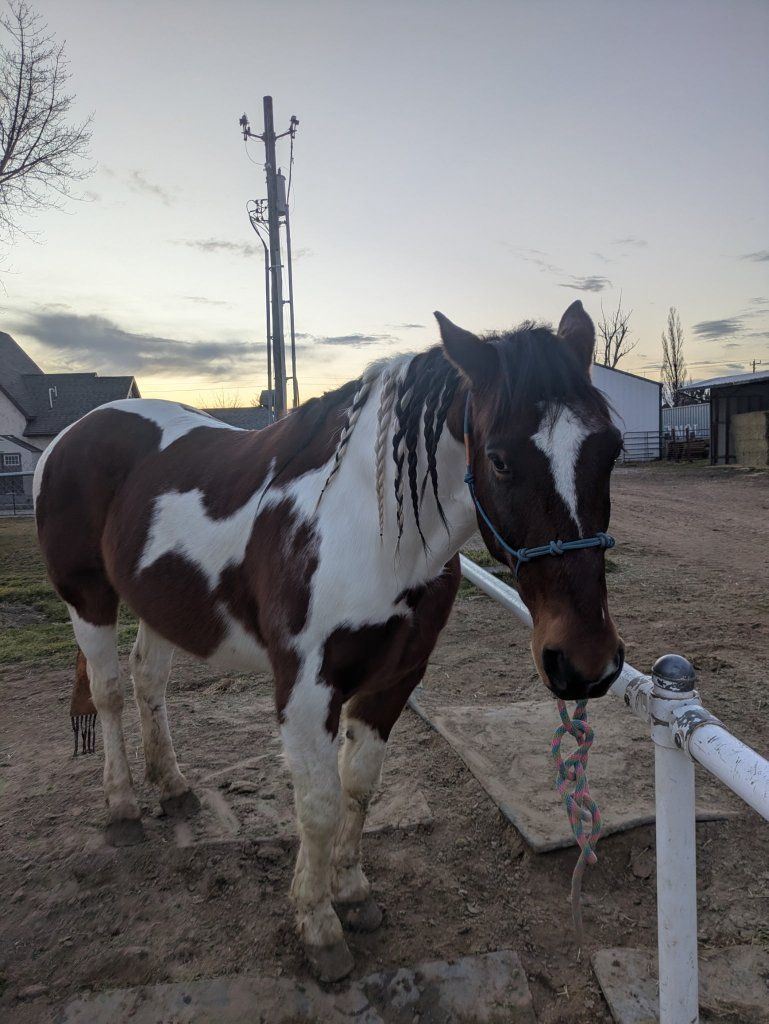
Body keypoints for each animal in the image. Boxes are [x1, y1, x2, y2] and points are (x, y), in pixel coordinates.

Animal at [34, 300, 624, 982]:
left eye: (611, 450)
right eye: (499, 459)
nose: (586, 662)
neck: (373, 534)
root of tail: (71, 435)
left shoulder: (396, 679)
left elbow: (358, 788)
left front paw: (352, 893)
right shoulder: (305, 688)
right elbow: (317, 804)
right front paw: (317, 926)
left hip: (162, 604)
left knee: (145, 678)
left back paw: (174, 787)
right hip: (88, 599)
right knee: (107, 692)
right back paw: (124, 805)